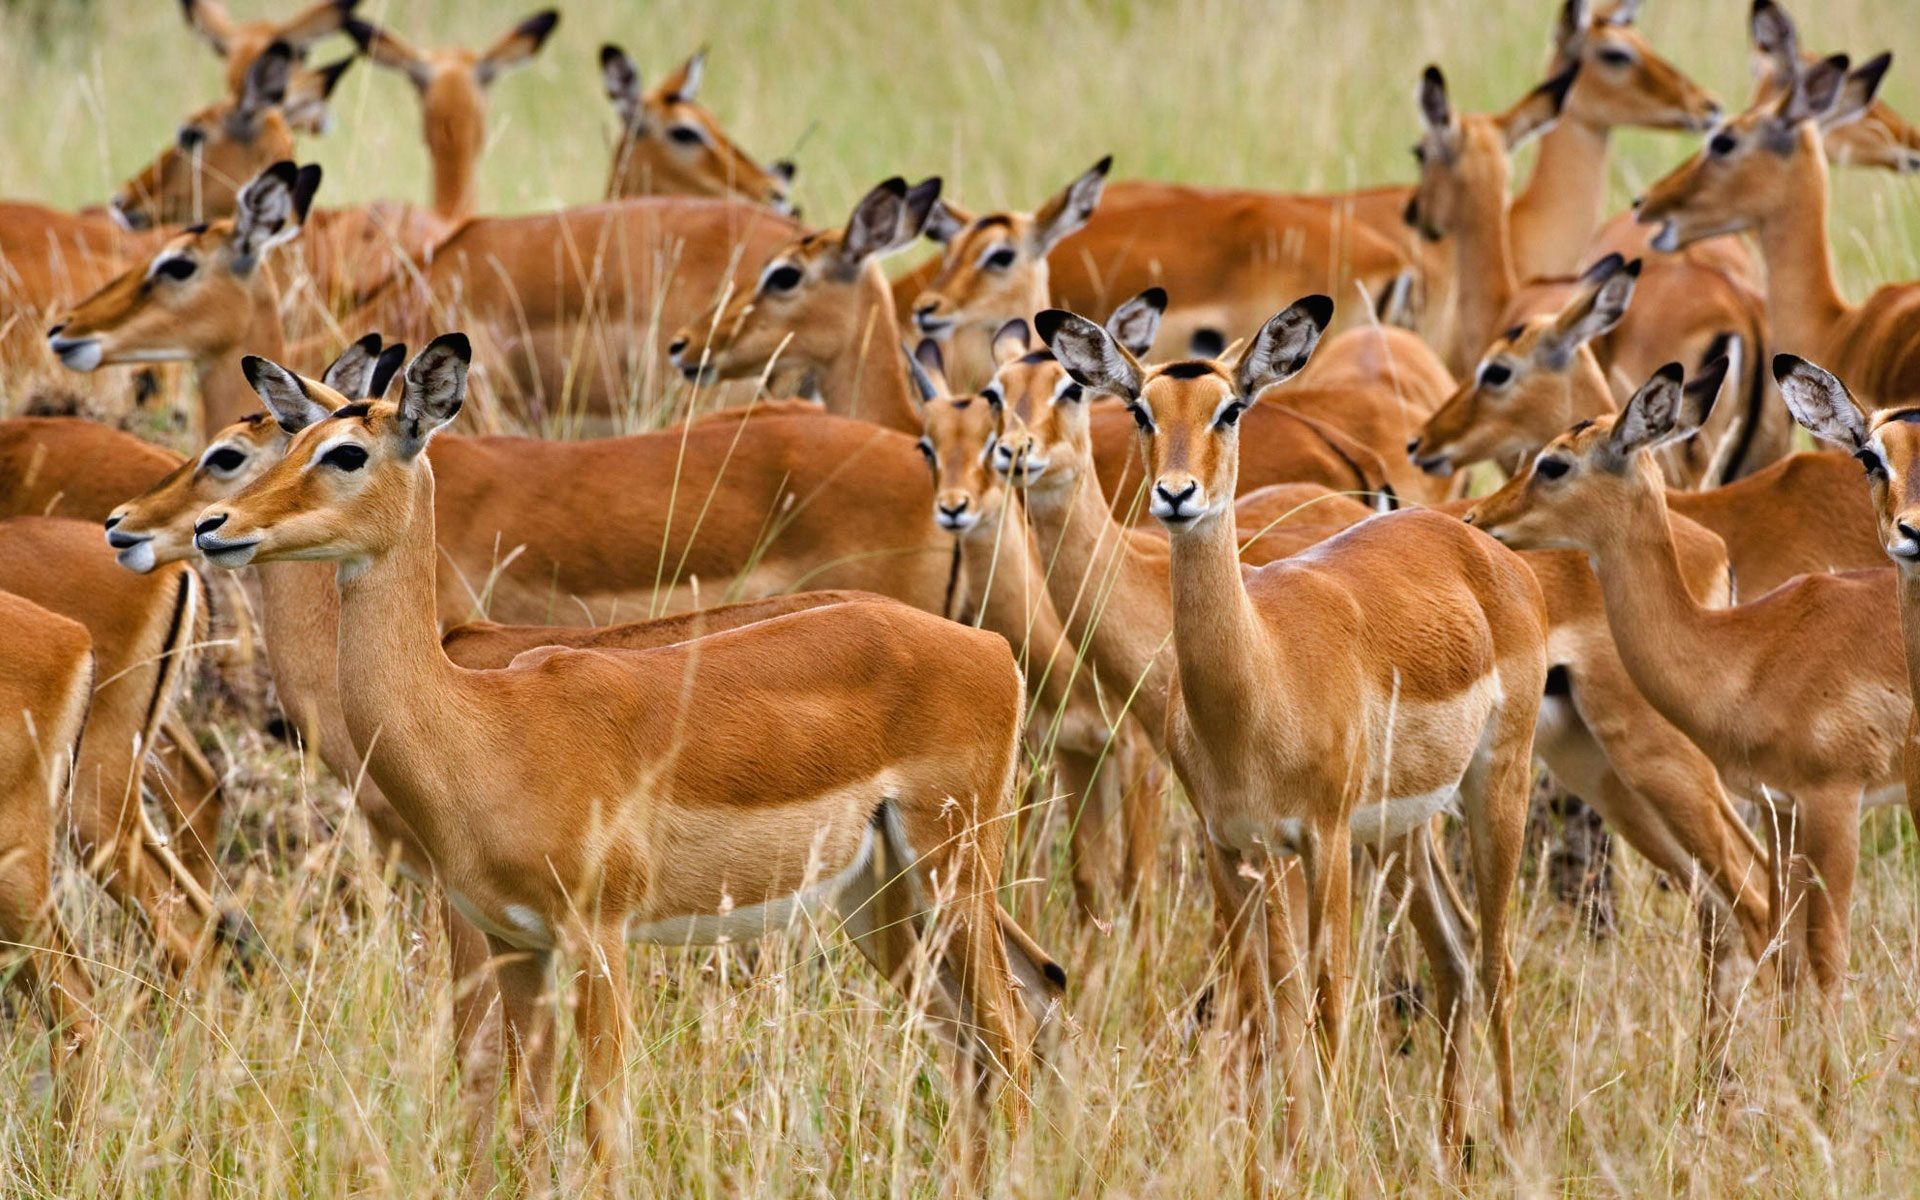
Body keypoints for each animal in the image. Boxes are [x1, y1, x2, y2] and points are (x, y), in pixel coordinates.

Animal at [191, 333, 1059, 1191]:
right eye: (288, 442)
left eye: (346, 452)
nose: (213, 526)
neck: (481, 723)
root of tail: (988, 648)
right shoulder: (515, 943)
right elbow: (528, 1127)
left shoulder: (597, 938)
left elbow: (602, 1131)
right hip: (876, 898)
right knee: (974, 1043)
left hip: (953, 876)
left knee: (1010, 1033)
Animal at [998, 300, 1770, 1067]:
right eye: (1140, 410)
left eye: (1230, 409)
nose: (1176, 494)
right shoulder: (1231, 844)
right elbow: (1263, 1002)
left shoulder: (1315, 838)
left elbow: (1319, 1003)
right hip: (1529, 789)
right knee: (1484, 948)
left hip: (1551, 775)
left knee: (1524, 954)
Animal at [1465, 362, 1908, 1065]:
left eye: (1554, 463)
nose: (1479, 516)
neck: (1745, 648)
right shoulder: (1784, 807)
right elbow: (1789, 945)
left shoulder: (1833, 801)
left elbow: (1824, 955)